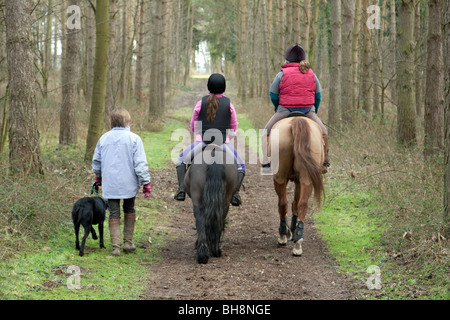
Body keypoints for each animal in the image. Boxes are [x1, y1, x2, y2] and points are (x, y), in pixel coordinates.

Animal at [266, 114, 326, 256]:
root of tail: (296, 121)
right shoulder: (299, 180)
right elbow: (296, 204)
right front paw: (293, 230)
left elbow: (293, 204)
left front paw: (290, 231)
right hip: (306, 178)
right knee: (302, 204)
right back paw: (298, 242)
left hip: (280, 177)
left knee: (283, 203)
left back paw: (283, 235)